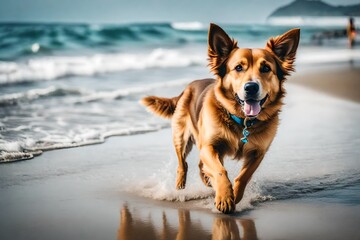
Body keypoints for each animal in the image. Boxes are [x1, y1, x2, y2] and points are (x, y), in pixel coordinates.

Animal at [142, 23, 300, 213]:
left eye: (266, 68)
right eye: (238, 68)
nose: (251, 87)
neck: (242, 121)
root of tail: (188, 87)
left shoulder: (258, 153)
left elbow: (243, 176)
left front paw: (235, 195)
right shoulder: (210, 146)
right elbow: (220, 171)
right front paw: (224, 196)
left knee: (200, 165)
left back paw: (207, 180)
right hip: (181, 138)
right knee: (183, 164)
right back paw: (180, 186)